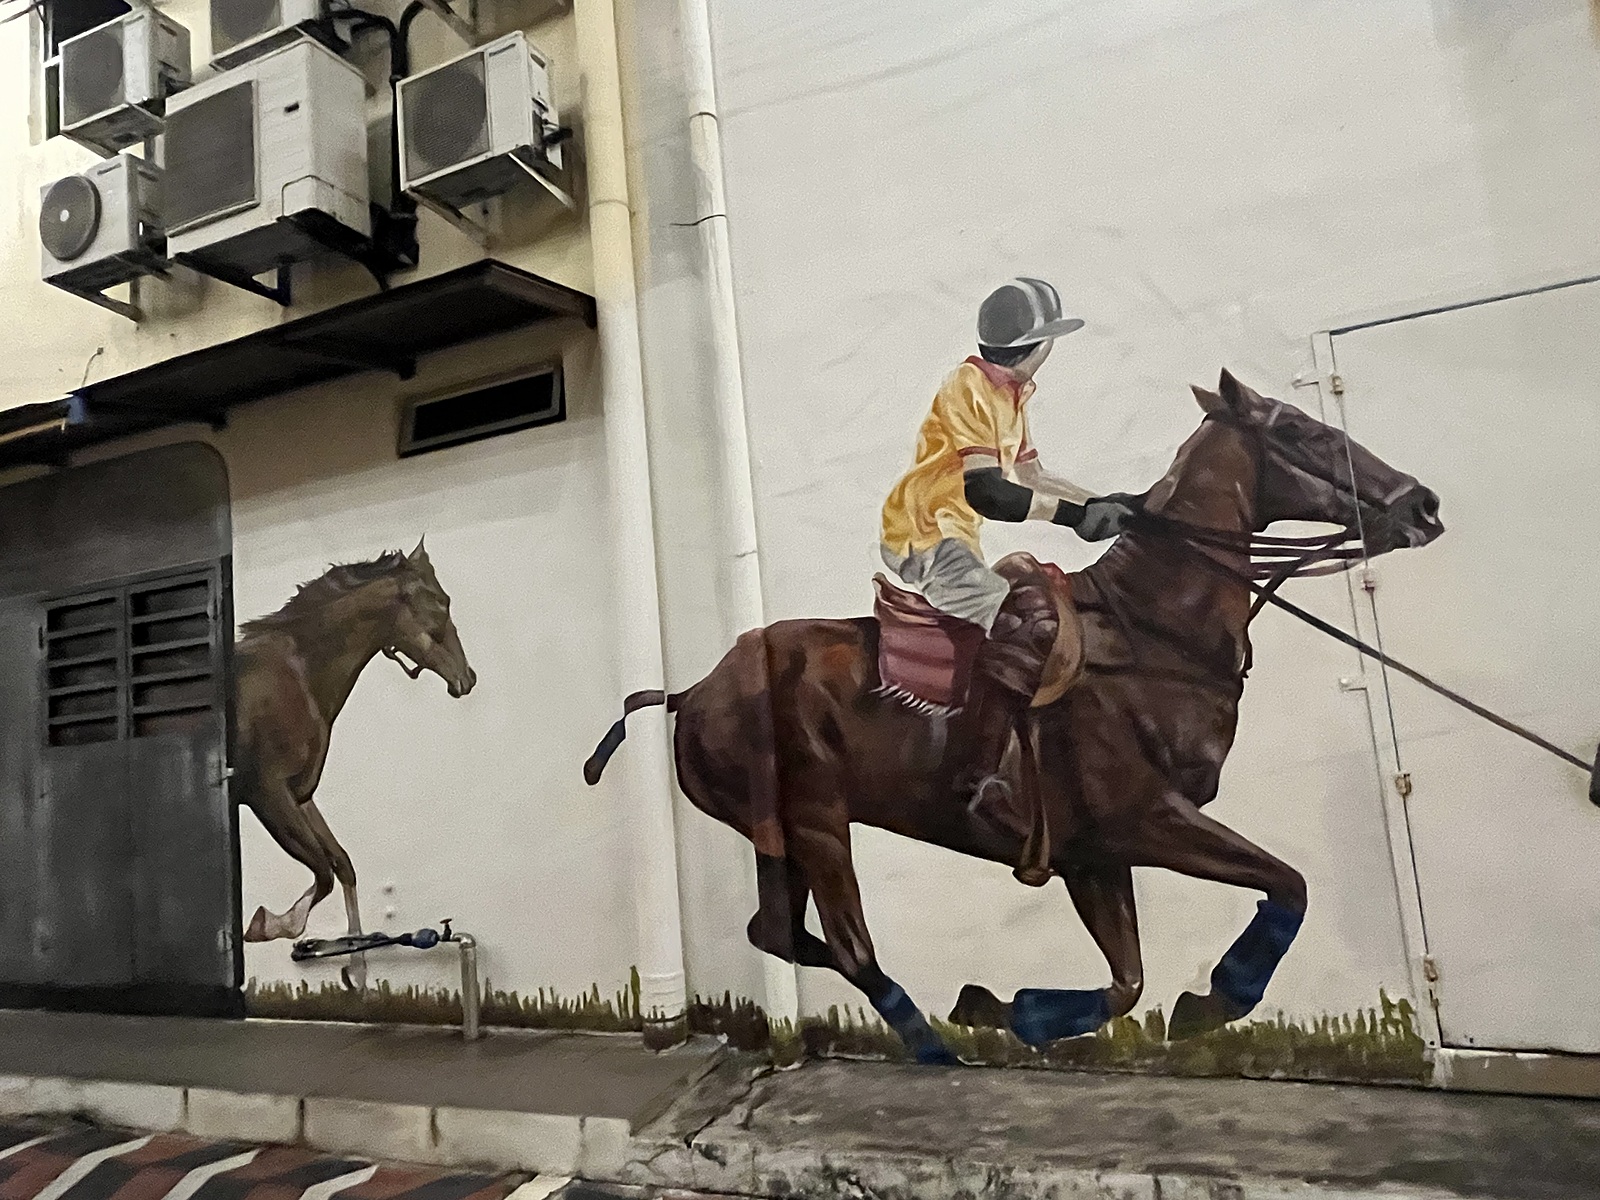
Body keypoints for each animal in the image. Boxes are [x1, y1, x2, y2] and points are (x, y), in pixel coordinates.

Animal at [233, 544, 473, 998]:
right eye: (442, 601)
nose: (467, 677)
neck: (297, 675)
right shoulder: (267, 795)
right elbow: (323, 873)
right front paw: (270, 925)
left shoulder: (299, 796)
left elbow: (341, 865)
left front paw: (357, 971)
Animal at [588, 371, 1452, 1068]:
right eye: (1300, 431)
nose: (1423, 502)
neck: (1151, 632)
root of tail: (692, 690)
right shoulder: (1144, 818)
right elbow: (1288, 885)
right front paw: (1213, 999)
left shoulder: (1094, 851)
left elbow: (1129, 980)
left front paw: (1018, 1010)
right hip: (817, 821)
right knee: (852, 947)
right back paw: (933, 1048)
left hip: (775, 833)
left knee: (777, 933)